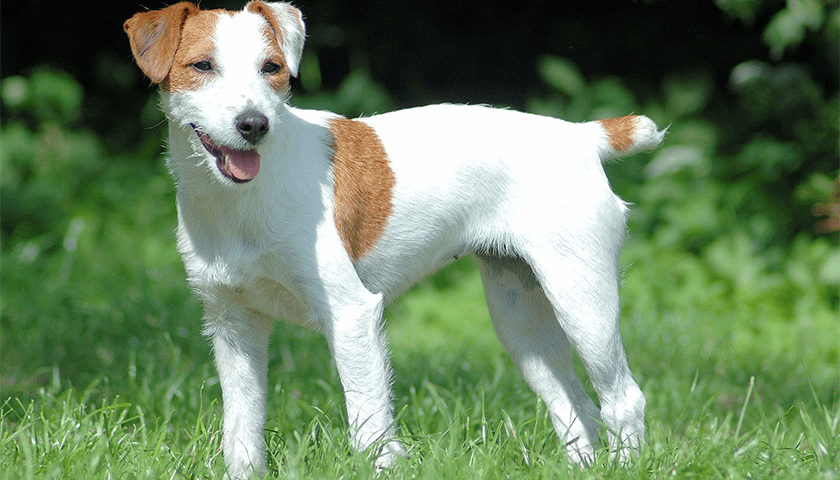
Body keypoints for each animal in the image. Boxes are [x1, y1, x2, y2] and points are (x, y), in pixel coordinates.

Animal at [123, 2, 664, 476]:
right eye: (202, 66)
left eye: (271, 67)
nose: (254, 124)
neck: (239, 201)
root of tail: (581, 136)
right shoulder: (234, 326)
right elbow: (242, 430)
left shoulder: (351, 315)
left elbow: (368, 423)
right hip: (522, 319)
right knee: (576, 405)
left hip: (581, 299)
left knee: (623, 399)